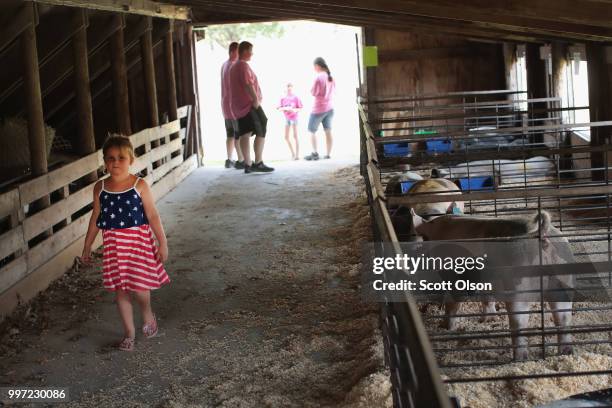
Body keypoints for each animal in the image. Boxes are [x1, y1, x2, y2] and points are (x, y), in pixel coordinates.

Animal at [412, 210, 572, 360]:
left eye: (423, 240)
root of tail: (542, 234)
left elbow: (452, 304)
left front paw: (445, 327)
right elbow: (487, 299)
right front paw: (487, 320)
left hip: (520, 286)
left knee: (519, 323)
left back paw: (519, 358)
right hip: (563, 281)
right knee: (563, 318)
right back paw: (565, 352)